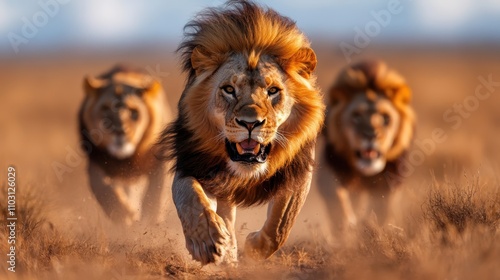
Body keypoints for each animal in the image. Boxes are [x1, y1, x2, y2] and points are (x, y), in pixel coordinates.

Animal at [78, 65, 172, 225]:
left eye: (134, 112)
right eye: (105, 109)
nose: (119, 130)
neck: (126, 157)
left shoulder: (162, 161)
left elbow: (157, 195)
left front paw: (150, 222)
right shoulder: (96, 161)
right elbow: (104, 190)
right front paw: (125, 215)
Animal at [158, 0, 326, 264]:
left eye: (272, 91)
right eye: (228, 89)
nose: (250, 123)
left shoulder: (298, 171)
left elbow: (281, 223)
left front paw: (254, 247)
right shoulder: (193, 163)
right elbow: (190, 198)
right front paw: (206, 241)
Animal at [318, 60, 416, 233]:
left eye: (385, 118)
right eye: (356, 116)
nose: (370, 135)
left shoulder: (391, 177)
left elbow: (382, 207)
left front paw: (374, 227)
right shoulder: (329, 167)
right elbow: (337, 199)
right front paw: (346, 228)